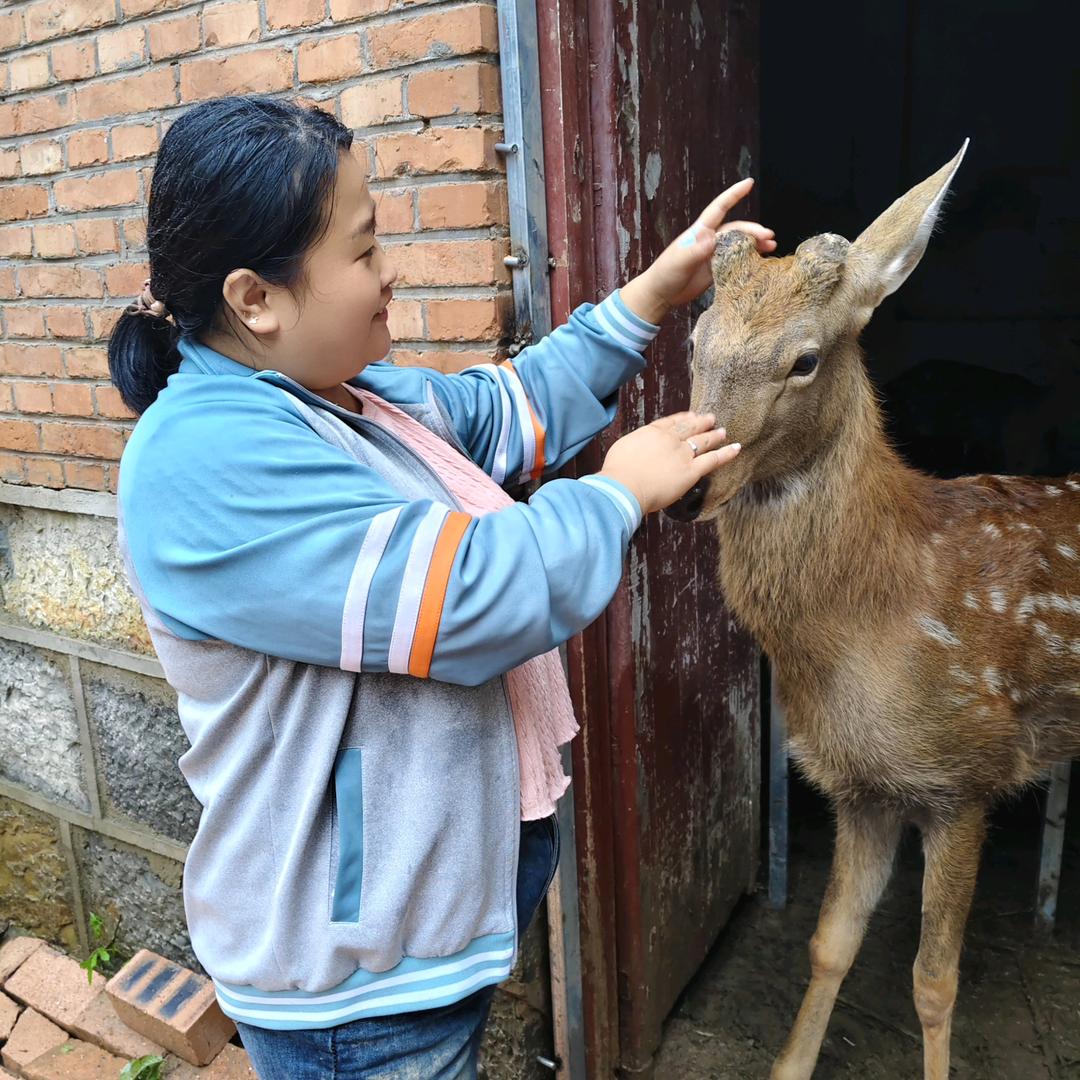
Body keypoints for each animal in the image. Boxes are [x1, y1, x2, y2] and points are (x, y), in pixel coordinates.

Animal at [665, 142, 1080, 1080]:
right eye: (696, 342)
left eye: (806, 359)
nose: (689, 488)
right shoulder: (861, 788)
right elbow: (829, 944)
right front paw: (790, 1065)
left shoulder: (967, 775)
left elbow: (933, 980)